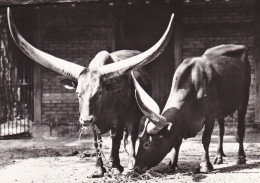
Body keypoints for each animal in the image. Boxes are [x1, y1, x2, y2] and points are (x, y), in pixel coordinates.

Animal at [7, 7, 175, 177]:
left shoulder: (120, 118)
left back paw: (130, 162)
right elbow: (97, 141)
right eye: (78, 93)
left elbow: (116, 139)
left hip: (135, 116)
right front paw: (99, 169)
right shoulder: (95, 121)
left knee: (132, 136)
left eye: (100, 92)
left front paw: (115, 166)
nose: (86, 120)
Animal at [131, 44, 251, 173]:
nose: (136, 168)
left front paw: (205, 164)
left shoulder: (210, 116)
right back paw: (219, 156)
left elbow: (206, 139)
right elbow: (177, 142)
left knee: (240, 129)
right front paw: (172, 164)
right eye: (139, 141)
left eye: (147, 144)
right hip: (220, 111)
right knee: (221, 131)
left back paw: (241, 157)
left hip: (244, 99)